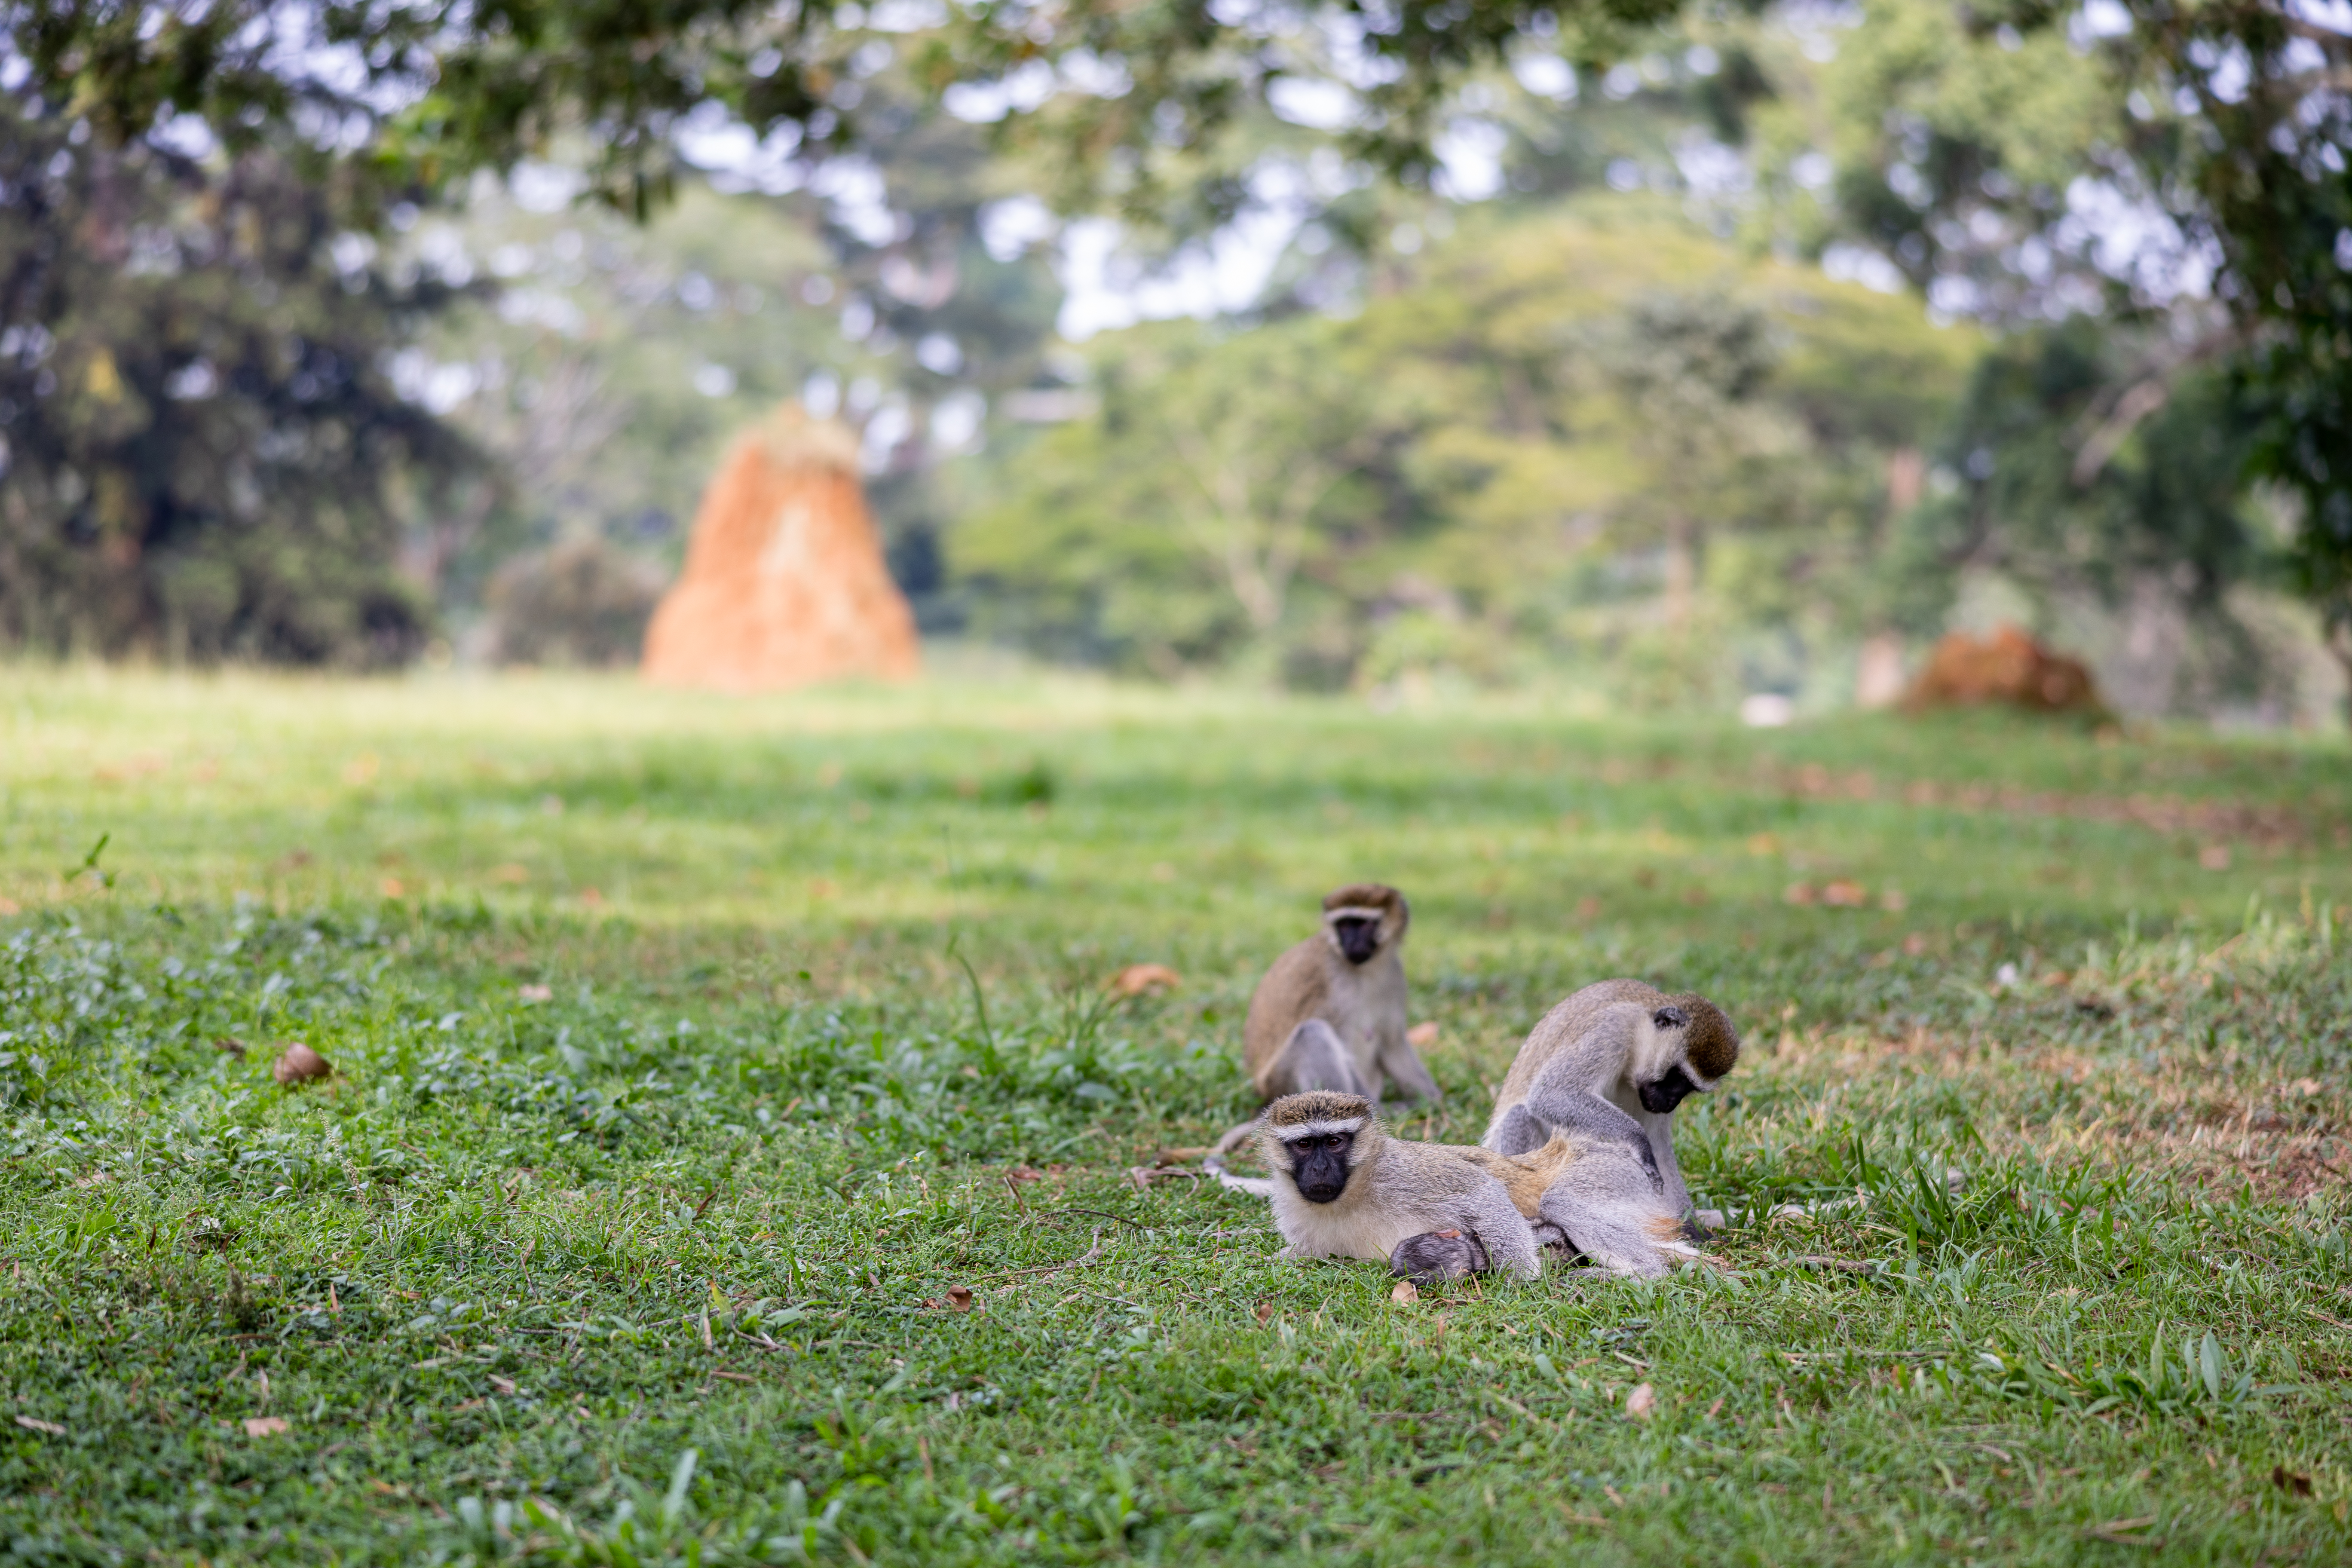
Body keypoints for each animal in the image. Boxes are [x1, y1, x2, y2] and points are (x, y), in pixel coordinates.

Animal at [1251, 1090, 1543, 1288]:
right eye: (1304, 1144)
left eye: (1334, 1142)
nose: (1320, 1168)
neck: (1350, 1196)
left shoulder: (1399, 1172)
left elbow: (1483, 1192)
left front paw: (1520, 1277)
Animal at [1477, 983, 1740, 1222]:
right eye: (1678, 1077)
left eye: (1690, 1088)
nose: (1671, 1102)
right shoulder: (1611, 1030)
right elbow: (1551, 1093)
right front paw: (1638, 1140)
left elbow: (1659, 1146)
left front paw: (1690, 1224)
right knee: (1520, 1116)